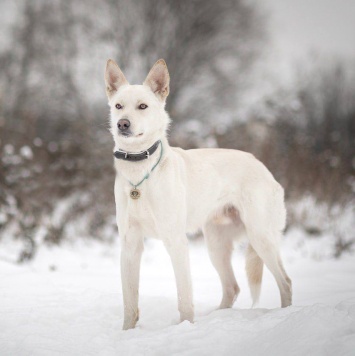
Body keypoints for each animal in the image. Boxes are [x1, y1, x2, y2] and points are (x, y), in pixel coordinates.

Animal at [103, 59, 292, 330]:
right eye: (118, 106)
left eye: (142, 106)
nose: (122, 124)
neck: (141, 170)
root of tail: (263, 167)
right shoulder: (130, 245)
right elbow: (130, 301)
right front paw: (127, 332)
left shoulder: (176, 242)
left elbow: (184, 297)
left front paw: (185, 327)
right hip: (216, 245)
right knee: (232, 287)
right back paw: (218, 318)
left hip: (260, 237)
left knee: (285, 282)